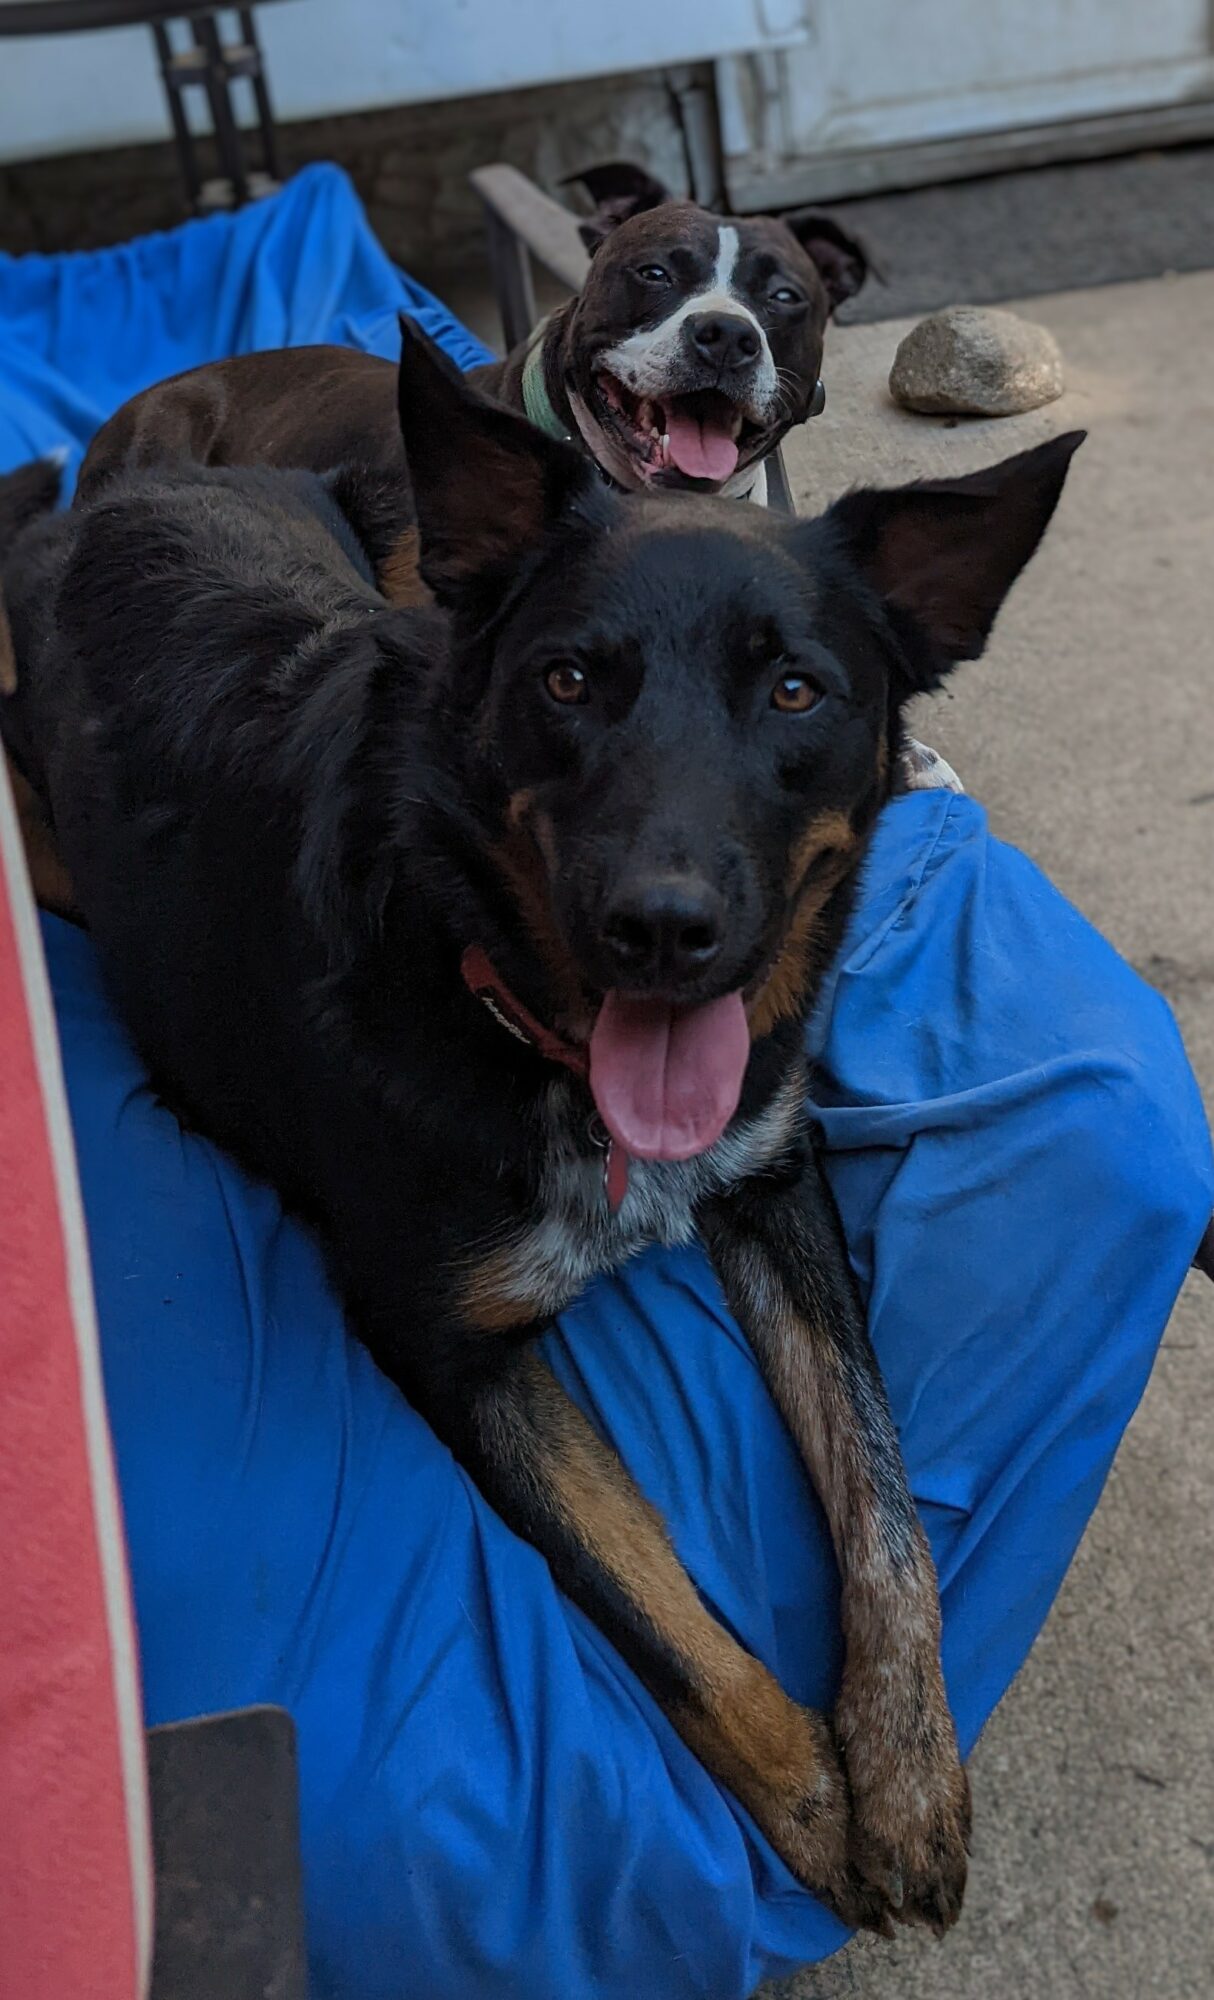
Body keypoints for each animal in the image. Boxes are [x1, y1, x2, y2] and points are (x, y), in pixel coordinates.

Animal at [0, 326, 1082, 1933]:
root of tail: (103, 500)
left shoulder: (777, 1176)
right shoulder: (444, 1343)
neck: (517, 1012)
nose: (662, 930)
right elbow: (657, 1598)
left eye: (797, 694)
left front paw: (902, 1773)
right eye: (568, 681)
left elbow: (884, 1498)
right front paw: (813, 1809)